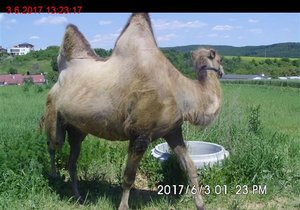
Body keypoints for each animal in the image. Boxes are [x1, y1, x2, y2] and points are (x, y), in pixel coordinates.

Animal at [40, 13, 223, 210]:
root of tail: (59, 79)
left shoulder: (173, 130)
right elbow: (128, 176)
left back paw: (79, 197)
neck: (180, 91)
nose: (221, 71)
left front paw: (200, 204)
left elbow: (190, 167)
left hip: (77, 128)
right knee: (53, 144)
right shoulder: (140, 133)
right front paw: (123, 206)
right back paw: (54, 176)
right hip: (54, 111)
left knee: (72, 160)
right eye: (220, 60)